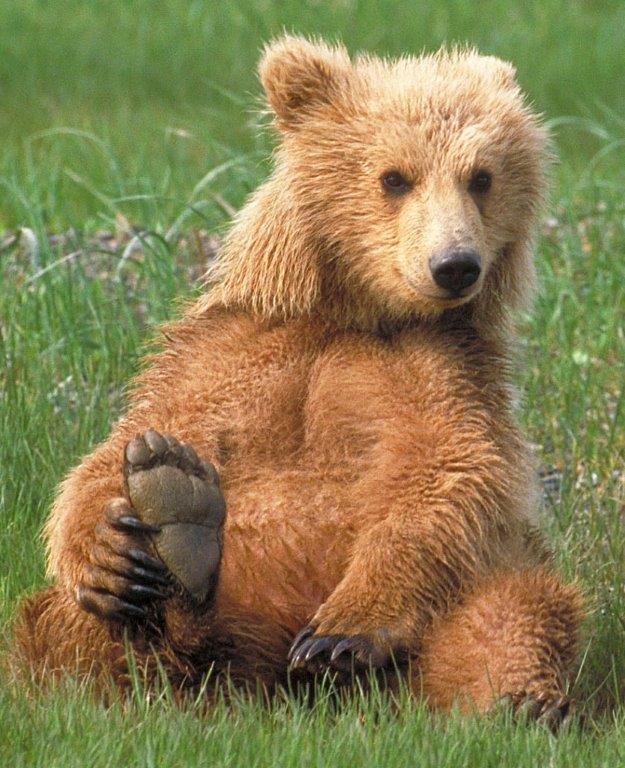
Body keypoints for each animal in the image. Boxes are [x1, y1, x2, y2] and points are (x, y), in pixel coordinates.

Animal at [14, 36, 583, 724]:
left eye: (481, 177)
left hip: (461, 611)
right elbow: (130, 440)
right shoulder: (237, 352)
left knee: (513, 610)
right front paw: (116, 533)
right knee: (66, 629)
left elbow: (447, 470)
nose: (455, 265)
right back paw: (173, 555)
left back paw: (517, 704)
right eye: (395, 177)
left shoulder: (440, 368)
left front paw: (343, 633)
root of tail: (278, 690)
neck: (358, 312)